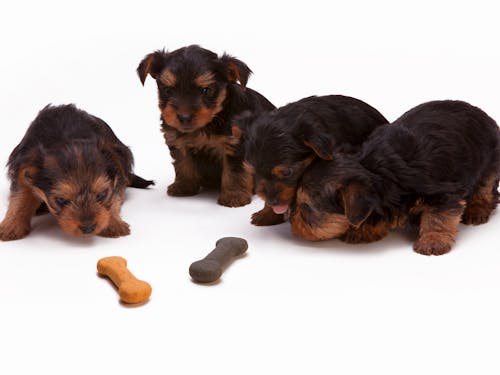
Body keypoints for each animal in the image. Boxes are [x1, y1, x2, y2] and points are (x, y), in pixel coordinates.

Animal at [0, 104, 152, 242]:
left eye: (102, 194)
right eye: (61, 200)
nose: (88, 228)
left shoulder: (117, 173)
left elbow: (115, 198)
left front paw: (113, 223)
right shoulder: (23, 169)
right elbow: (20, 198)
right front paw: (11, 226)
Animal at [137, 46, 276, 209]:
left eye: (206, 90)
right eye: (168, 90)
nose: (184, 117)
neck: (210, 122)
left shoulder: (235, 144)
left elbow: (235, 170)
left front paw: (234, 196)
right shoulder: (177, 140)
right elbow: (182, 163)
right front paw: (184, 186)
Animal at [290, 100, 500, 256]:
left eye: (306, 209)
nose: (291, 221)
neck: (374, 169)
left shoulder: (444, 192)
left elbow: (438, 216)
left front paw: (433, 240)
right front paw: (364, 230)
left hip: (491, 160)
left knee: (486, 187)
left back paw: (477, 209)